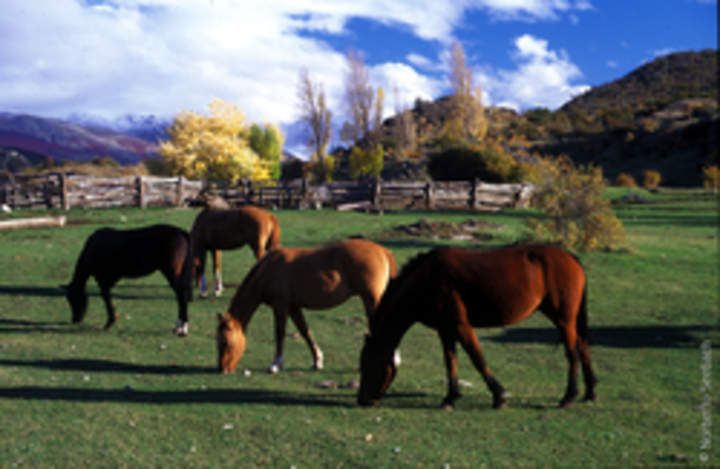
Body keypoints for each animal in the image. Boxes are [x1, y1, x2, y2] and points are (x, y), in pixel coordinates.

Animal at [63, 224, 194, 336]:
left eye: (73, 298)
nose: (75, 320)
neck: (94, 248)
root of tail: (180, 232)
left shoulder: (103, 281)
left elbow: (106, 298)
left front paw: (110, 322)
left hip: (171, 272)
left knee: (181, 295)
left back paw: (183, 329)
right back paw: (178, 327)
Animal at [216, 238, 397, 374]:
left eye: (225, 342)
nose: (222, 369)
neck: (269, 269)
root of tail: (382, 251)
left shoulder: (281, 306)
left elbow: (279, 333)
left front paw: (276, 364)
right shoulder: (294, 307)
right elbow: (305, 332)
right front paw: (317, 360)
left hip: (371, 299)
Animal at [358, 244, 597, 410]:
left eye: (367, 366)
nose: (362, 400)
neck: (426, 280)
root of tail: (570, 258)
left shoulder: (461, 326)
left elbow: (477, 358)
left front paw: (499, 395)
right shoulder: (446, 330)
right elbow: (450, 362)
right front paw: (450, 397)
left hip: (564, 320)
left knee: (573, 353)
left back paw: (568, 397)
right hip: (565, 320)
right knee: (583, 347)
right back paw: (589, 392)